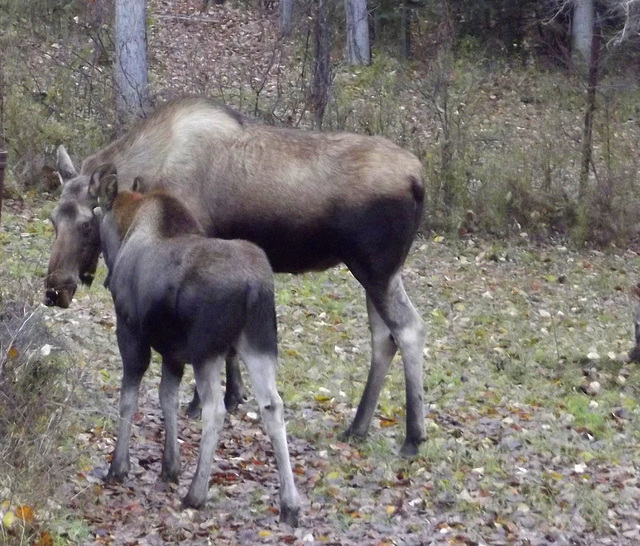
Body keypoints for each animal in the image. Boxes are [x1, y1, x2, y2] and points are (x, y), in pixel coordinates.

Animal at [45, 95, 424, 452]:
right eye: (53, 219)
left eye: (87, 224)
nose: (54, 290)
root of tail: (418, 180)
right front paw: (233, 396)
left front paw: (201, 404)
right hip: (378, 273)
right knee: (383, 337)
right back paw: (358, 428)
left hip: (374, 269)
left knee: (408, 329)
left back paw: (412, 437)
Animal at [91, 167, 302, 524]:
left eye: (94, 214)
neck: (125, 234)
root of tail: (254, 287)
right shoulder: (173, 352)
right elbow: (167, 398)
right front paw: (170, 466)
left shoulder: (131, 333)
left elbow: (128, 400)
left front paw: (118, 467)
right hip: (259, 344)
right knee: (273, 406)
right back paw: (290, 504)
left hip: (207, 350)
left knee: (215, 410)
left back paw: (196, 493)